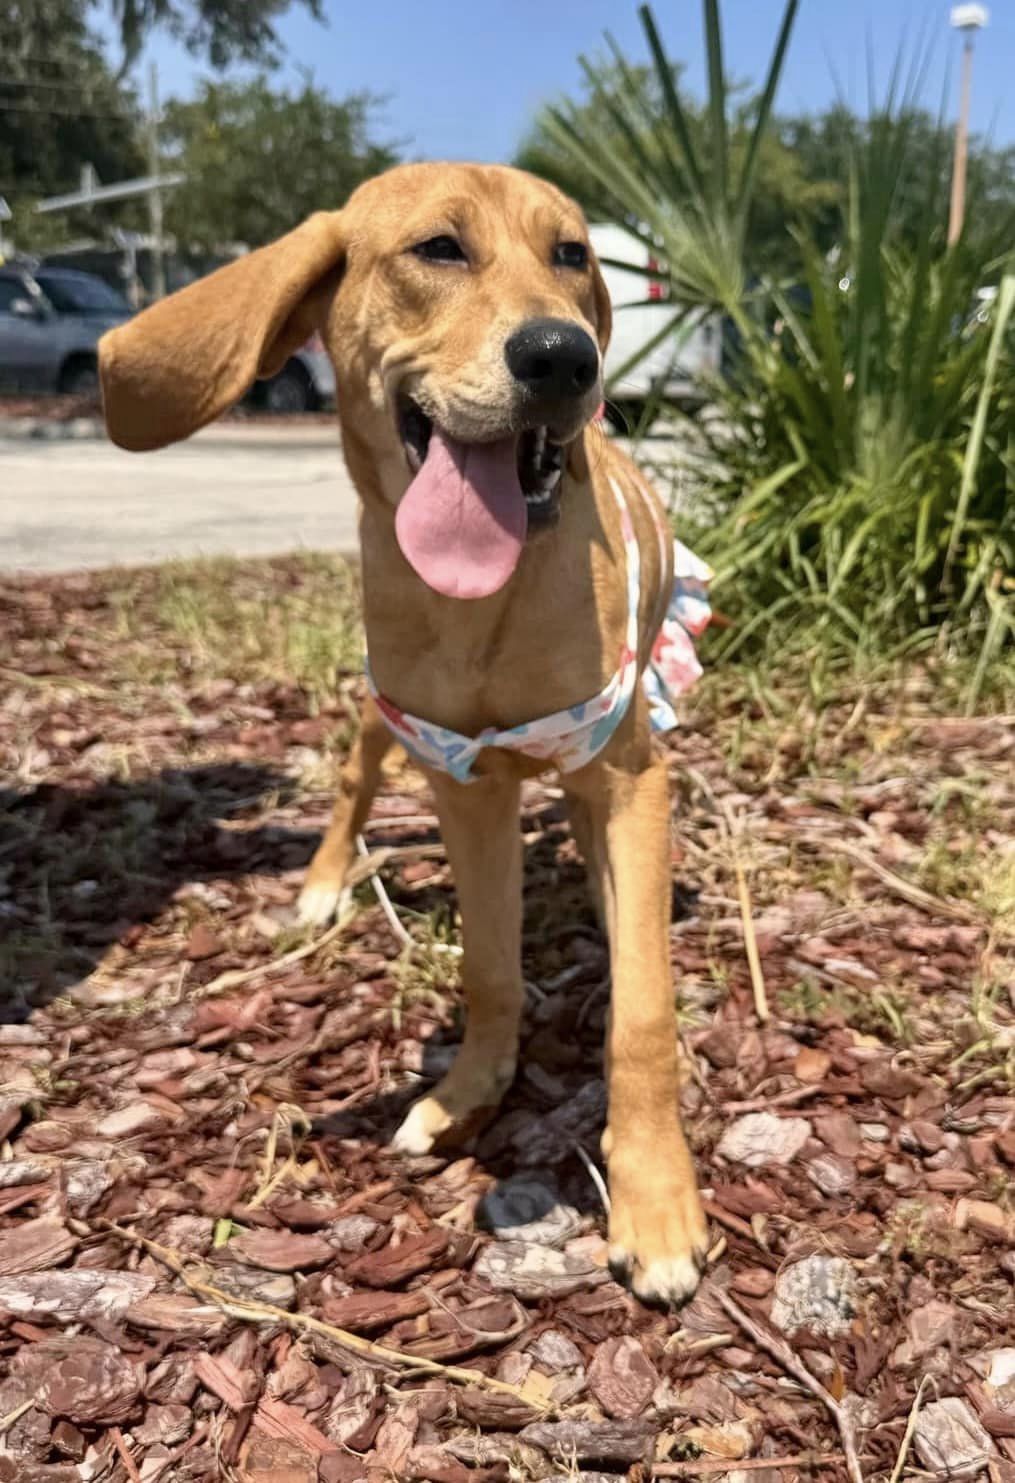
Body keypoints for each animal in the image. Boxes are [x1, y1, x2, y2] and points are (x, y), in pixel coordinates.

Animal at [99, 162, 709, 1299]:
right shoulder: (461, 779)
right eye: (438, 249)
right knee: (353, 782)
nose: (566, 356)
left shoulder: (625, 774)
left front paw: (653, 1198)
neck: (485, 605)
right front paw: (470, 1090)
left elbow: (643, 1010)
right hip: (388, 725)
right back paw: (322, 884)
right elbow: (489, 967)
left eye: (572, 254)